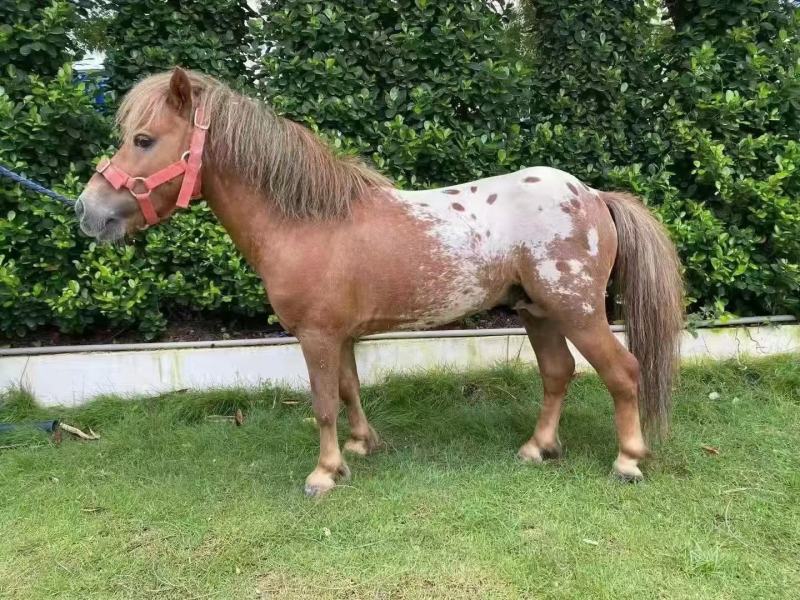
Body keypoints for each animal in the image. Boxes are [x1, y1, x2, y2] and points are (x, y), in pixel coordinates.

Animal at [76, 68, 684, 496]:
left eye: (144, 139)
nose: (87, 211)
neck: (307, 220)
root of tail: (593, 195)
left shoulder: (316, 336)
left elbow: (323, 402)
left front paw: (324, 473)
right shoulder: (339, 336)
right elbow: (349, 389)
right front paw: (361, 446)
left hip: (577, 312)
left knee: (623, 372)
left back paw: (628, 460)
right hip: (538, 312)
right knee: (558, 374)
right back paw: (537, 448)